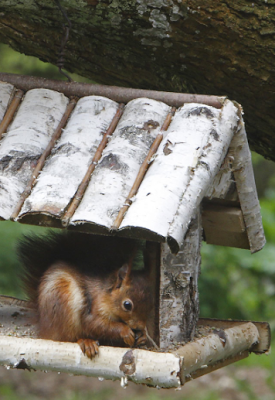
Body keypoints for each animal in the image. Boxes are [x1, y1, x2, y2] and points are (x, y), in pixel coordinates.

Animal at [18, 231, 154, 360]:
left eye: (151, 305)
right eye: (127, 305)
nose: (139, 326)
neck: (106, 296)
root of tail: (43, 325)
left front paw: (142, 335)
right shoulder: (94, 307)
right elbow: (94, 323)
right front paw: (125, 331)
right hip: (63, 304)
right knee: (66, 338)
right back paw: (86, 341)